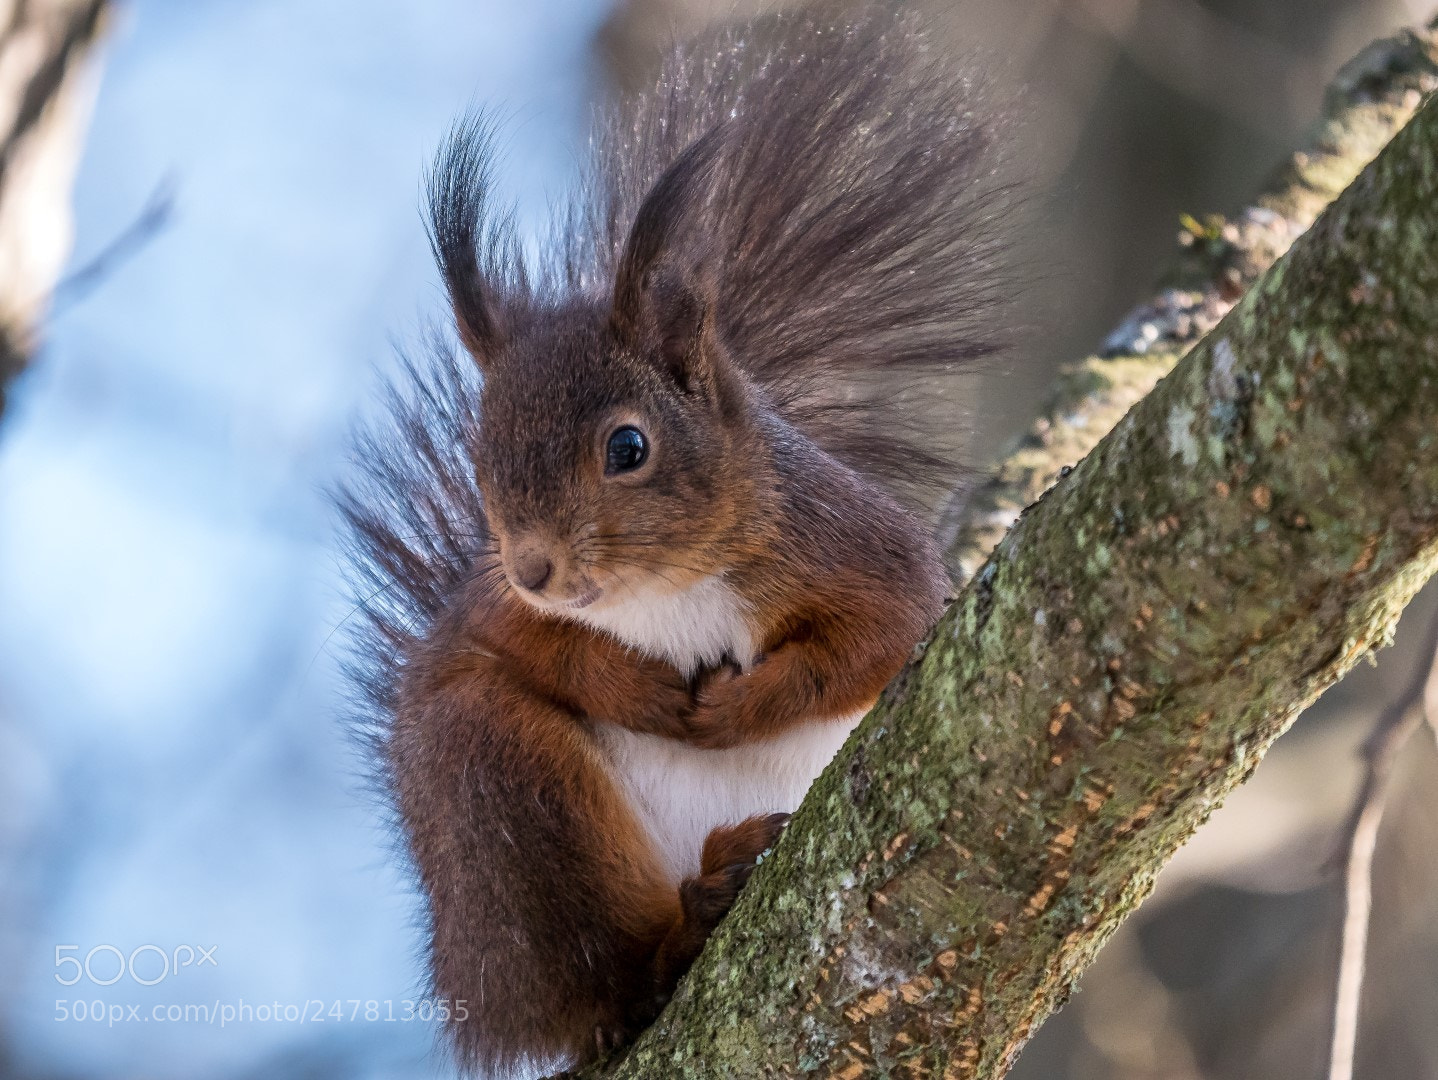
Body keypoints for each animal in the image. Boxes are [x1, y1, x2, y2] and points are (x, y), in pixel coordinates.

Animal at [339, 5, 1013, 1075]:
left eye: (628, 447)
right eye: (481, 453)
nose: (536, 565)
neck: (666, 589)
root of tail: (480, 979)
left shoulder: (853, 551)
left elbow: (877, 639)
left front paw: (740, 709)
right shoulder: (490, 611)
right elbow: (514, 643)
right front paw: (637, 688)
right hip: (503, 791)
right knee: (606, 970)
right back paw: (681, 929)